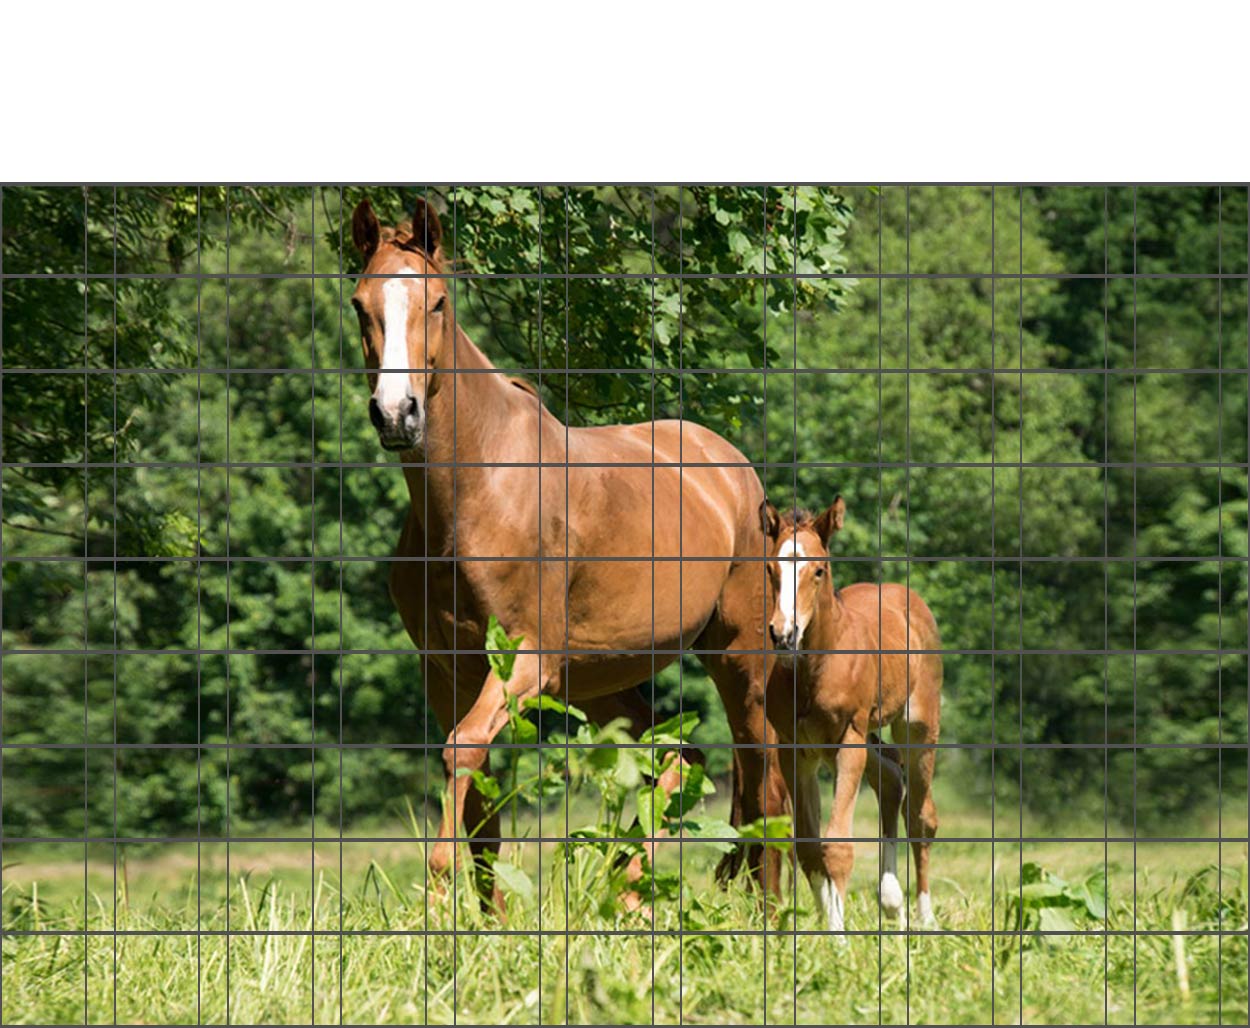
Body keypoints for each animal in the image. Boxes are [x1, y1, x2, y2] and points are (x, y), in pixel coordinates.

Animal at [755, 497, 940, 935]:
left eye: (818, 571)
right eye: (771, 569)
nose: (783, 634)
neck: (815, 668)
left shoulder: (848, 739)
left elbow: (837, 844)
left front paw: (838, 941)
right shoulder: (796, 750)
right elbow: (808, 847)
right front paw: (826, 924)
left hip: (917, 727)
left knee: (921, 816)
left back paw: (925, 918)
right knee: (889, 778)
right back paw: (893, 903)